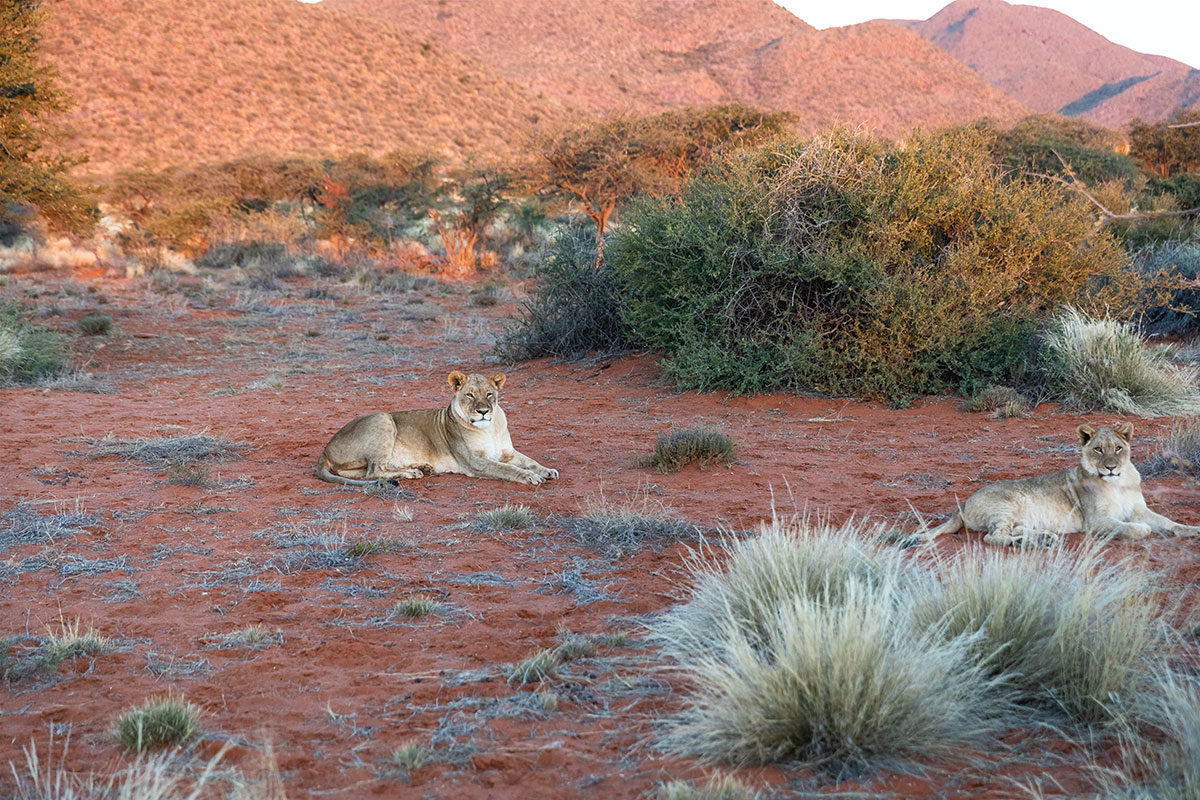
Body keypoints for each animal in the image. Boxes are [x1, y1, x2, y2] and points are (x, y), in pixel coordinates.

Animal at [316, 371, 558, 486]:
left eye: (489, 394)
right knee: (374, 471)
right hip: (382, 418)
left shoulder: (507, 452)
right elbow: (507, 469)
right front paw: (530, 477)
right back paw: (413, 472)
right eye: (470, 395)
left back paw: (422, 467)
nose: (483, 411)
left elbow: (529, 461)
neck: (489, 428)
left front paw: (547, 471)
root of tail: (325, 450)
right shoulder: (475, 462)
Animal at [910, 422, 1199, 547]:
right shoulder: (1095, 521)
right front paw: (1141, 530)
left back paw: (1045, 539)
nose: (1110, 467)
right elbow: (1130, 528)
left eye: (1118, 448)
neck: (1119, 482)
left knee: (1015, 530)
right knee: (994, 537)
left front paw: (1192, 530)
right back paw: (1027, 544)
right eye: (1098, 449)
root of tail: (962, 504)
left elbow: (1168, 522)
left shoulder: (1139, 509)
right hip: (1009, 503)